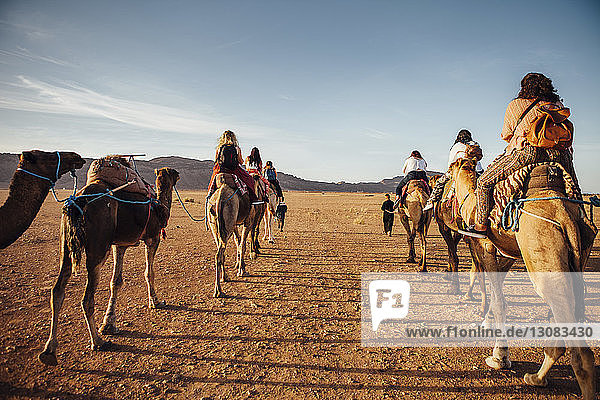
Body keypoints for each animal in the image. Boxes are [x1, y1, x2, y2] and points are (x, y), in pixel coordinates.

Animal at [37, 166, 177, 366]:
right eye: (174, 175)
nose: (178, 176)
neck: (160, 206)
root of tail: (77, 202)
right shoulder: (153, 238)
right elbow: (149, 273)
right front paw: (156, 302)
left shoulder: (119, 244)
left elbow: (115, 282)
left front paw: (109, 323)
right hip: (98, 248)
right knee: (87, 299)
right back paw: (98, 341)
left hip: (66, 245)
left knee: (57, 291)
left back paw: (49, 350)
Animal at [450, 158, 596, 398]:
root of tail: (566, 217)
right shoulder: (509, 253)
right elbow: (497, 292)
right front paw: (489, 328)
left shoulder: (485, 246)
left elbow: (499, 301)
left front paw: (500, 357)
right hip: (579, 252)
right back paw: (537, 377)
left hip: (541, 252)